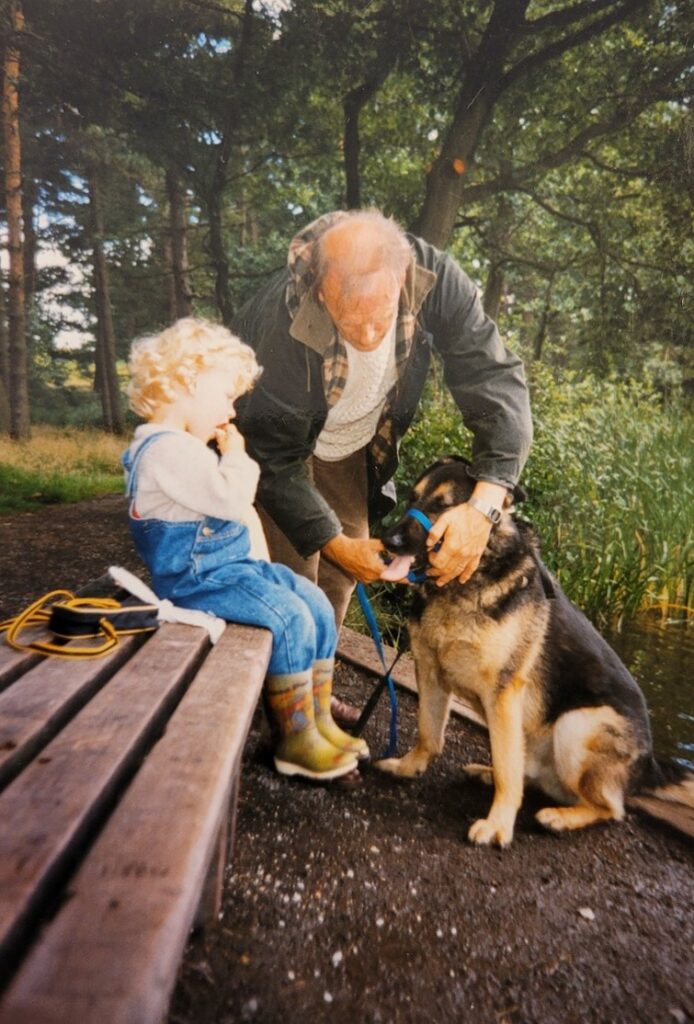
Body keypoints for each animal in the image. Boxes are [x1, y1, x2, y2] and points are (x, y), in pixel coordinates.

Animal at [380, 456, 694, 847]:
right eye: (413, 497)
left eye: (442, 505)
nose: (386, 541)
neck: (467, 579)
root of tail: (649, 764)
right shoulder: (430, 671)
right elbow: (428, 733)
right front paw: (409, 766)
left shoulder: (502, 694)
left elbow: (507, 772)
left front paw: (498, 824)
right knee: (526, 771)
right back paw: (488, 772)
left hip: (575, 725)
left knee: (611, 808)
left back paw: (560, 817)